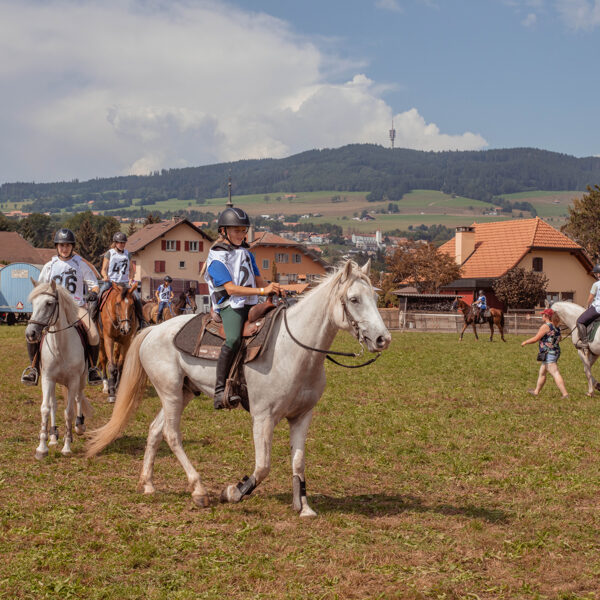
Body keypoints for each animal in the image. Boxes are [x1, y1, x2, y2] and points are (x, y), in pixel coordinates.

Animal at [25, 280, 93, 459]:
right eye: (33, 303)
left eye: (49, 303)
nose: (30, 333)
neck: (60, 346)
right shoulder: (48, 379)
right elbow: (46, 408)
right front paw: (42, 448)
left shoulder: (74, 380)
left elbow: (69, 411)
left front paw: (67, 446)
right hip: (55, 382)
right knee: (54, 404)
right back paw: (53, 436)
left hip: (81, 380)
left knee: (78, 398)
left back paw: (79, 426)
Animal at [86, 260, 391, 516]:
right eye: (354, 299)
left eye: (375, 298)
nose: (383, 339)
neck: (295, 349)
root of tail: (152, 331)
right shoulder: (263, 417)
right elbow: (263, 465)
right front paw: (234, 491)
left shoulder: (302, 416)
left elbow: (298, 461)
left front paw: (303, 506)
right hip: (170, 392)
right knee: (172, 435)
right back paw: (198, 490)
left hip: (182, 393)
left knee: (154, 430)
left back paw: (148, 483)